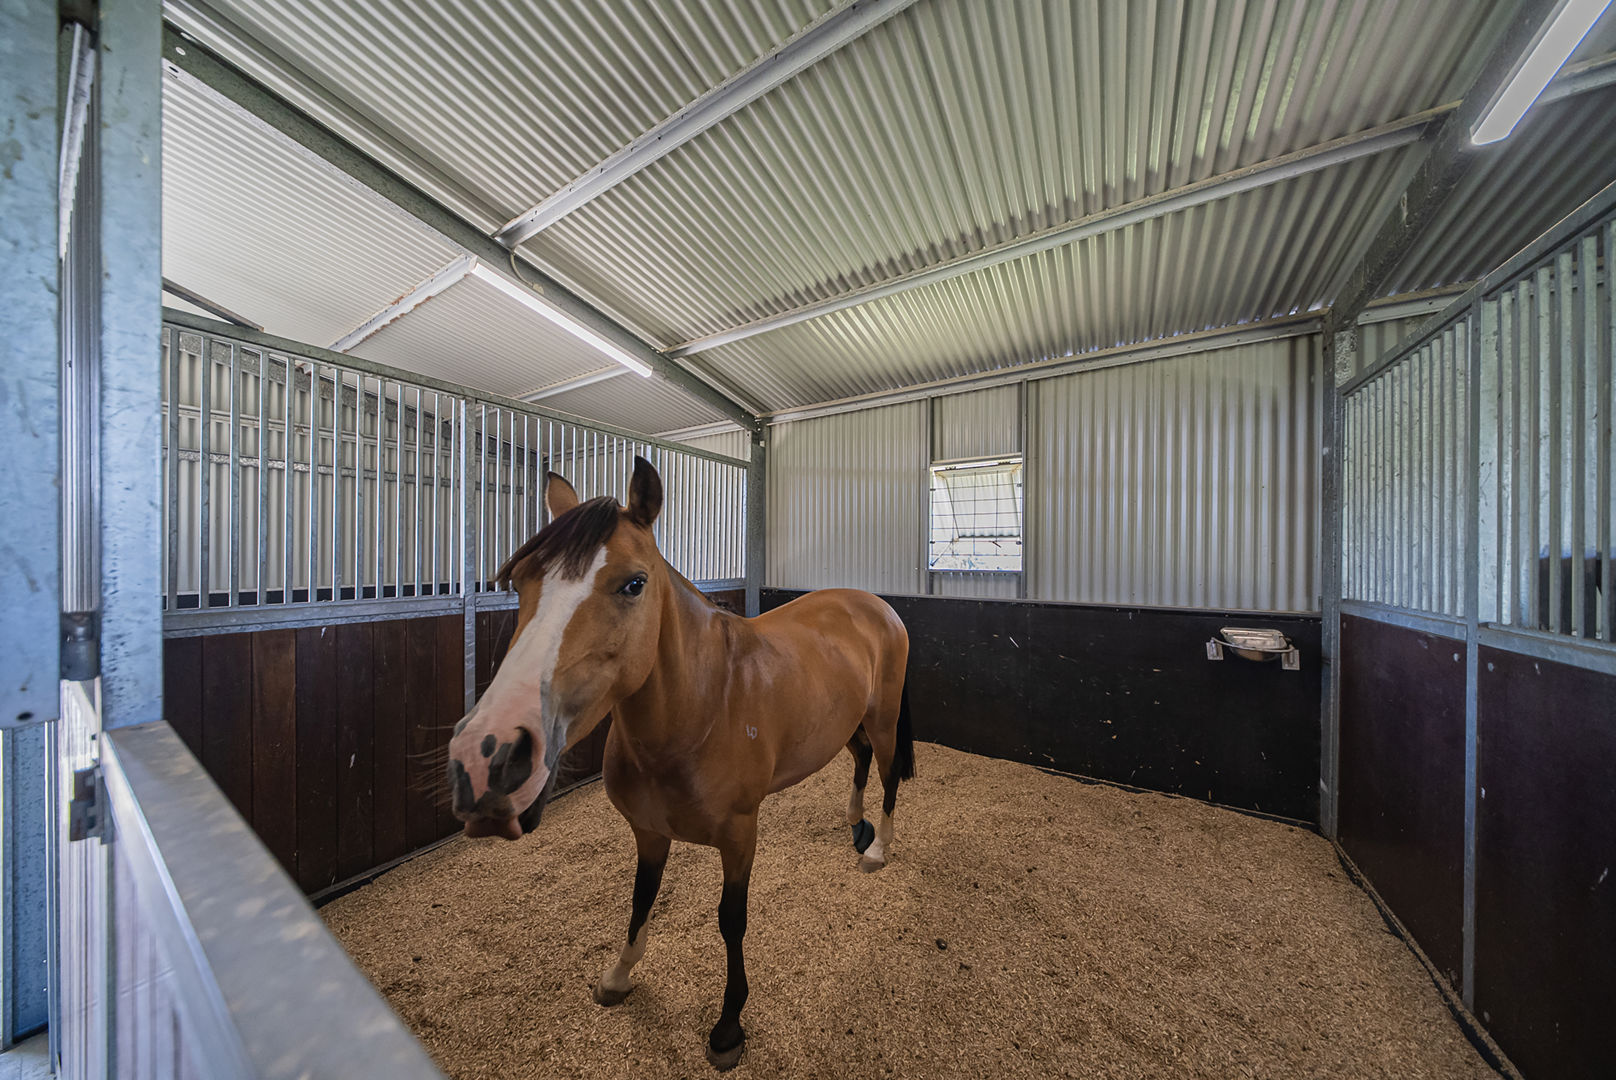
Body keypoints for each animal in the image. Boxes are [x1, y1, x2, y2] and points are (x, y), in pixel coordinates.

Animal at [445, 456, 915, 1070]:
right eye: (521, 582)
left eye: (634, 583)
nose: (488, 756)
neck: (702, 707)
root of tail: (876, 604)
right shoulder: (648, 832)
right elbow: (640, 901)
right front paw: (618, 977)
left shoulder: (740, 837)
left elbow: (731, 921)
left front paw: (729, 1025)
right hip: (847, 724)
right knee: (859, 762)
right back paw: (855, 826)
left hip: (882, 718)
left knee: (887, 772)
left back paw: (877, 847)